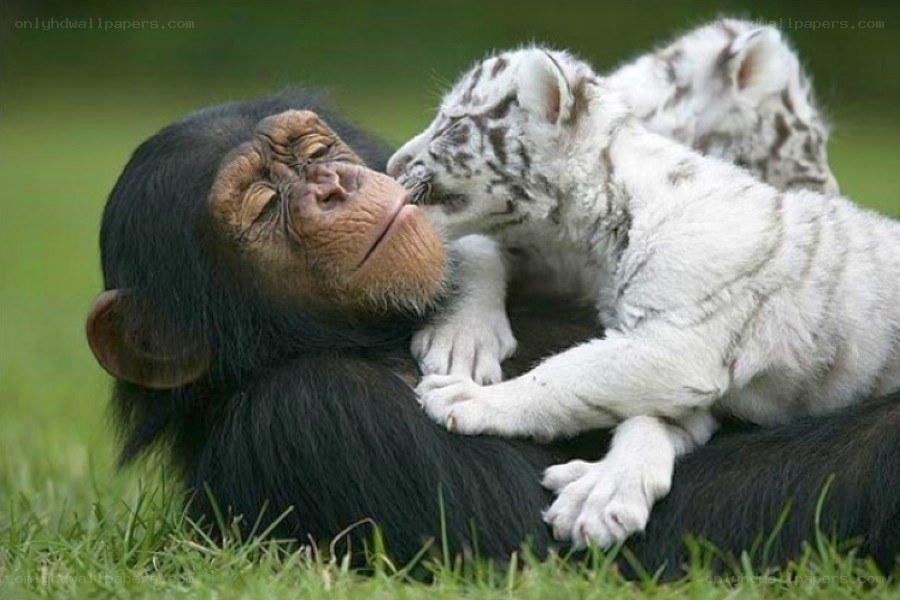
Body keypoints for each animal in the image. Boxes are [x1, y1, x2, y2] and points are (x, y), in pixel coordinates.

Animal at [388, 29, 900, 548]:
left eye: (452, 123)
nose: (392, 163)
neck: (600, 221)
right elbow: (643, 416)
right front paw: (603, 492)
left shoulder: (678, 342)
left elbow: (568, 374)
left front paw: (467, 399)